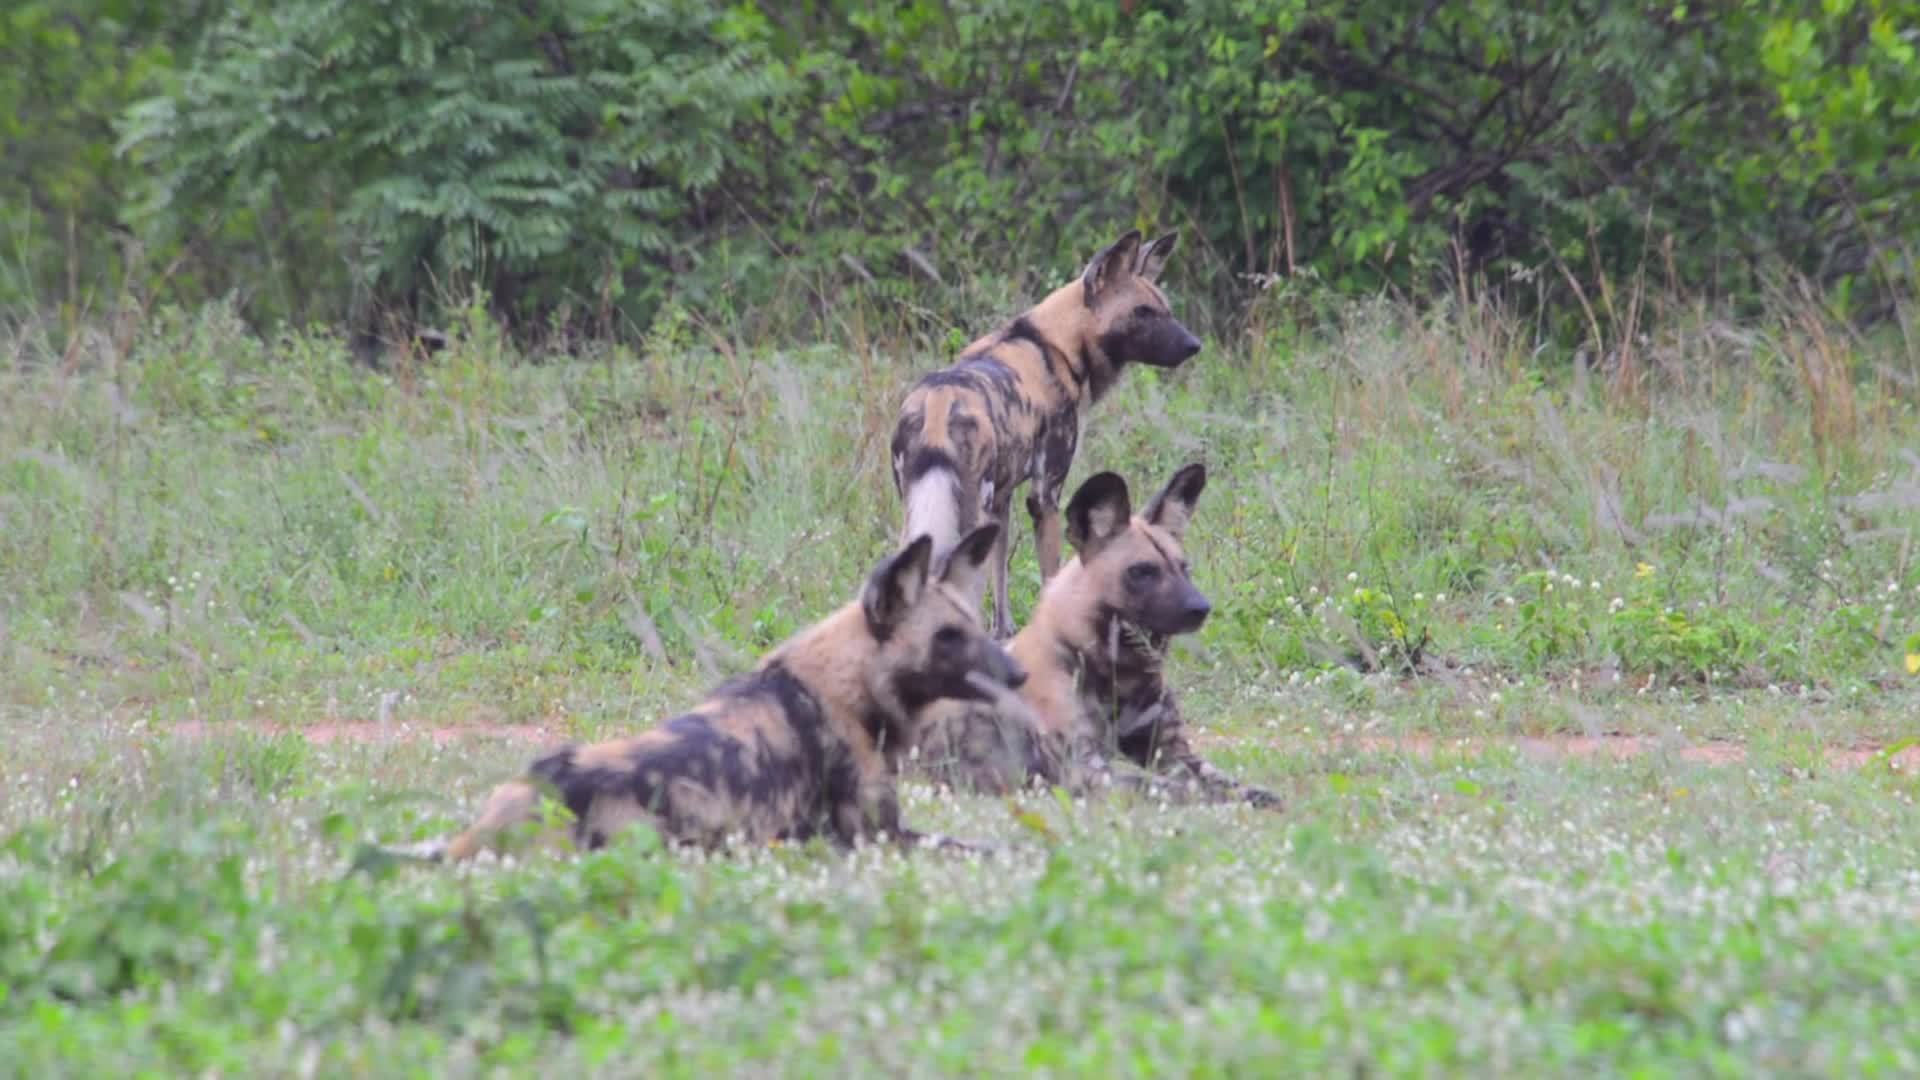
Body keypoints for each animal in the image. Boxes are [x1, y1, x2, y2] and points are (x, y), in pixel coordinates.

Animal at [887, 222, 1198, 634]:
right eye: (1142, 312)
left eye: (1166, 310)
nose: (1194, 345)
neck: (1058, 347)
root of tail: (939, 403)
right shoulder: (1045, 498)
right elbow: (1050, 576)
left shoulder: (1001, 505)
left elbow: (1001, 584)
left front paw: (1005, 636)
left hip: (923, 513)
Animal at [910, 463, 1282, 807]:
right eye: (1142, 571)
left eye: (1184, 567)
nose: (1200, 608)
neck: (1120, 671)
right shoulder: (1085, 768)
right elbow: (1177, 788)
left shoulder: (1174, 753)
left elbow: (1221, 781)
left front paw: (1255, 795)